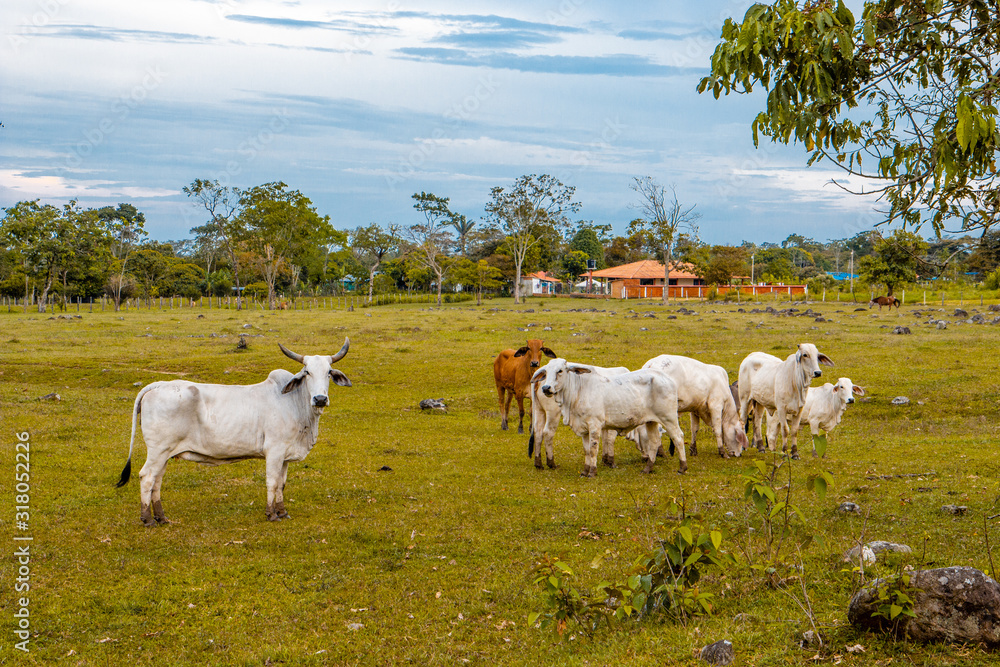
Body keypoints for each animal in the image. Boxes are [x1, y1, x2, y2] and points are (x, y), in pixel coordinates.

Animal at [115, 339, 351, 526]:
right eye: (307, 372)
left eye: (329, 373)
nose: (320, 399)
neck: (295, 404)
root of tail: (158, 385)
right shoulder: (274, 451)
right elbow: (272, 482)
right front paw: (271, 514)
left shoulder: (285, 455)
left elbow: (282, 483)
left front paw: (282, 512)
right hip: (158, 450)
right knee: (147, 477)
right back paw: (147, 519)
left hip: (165, 454)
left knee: (157, 481)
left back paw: (161, 517)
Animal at [532, 358, 687, 476]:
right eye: (546, 372)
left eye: (560, 371)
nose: (546, 388)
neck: (578, 391)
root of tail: (666, 378)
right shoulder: (583, 428)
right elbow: (587, 450)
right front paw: (585, 471)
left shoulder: (595, 425)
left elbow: (594, 448)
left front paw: (593, 472)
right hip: (651, 421)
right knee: (654, 441)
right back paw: (648, 468)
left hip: (668, 417)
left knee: (678, 437)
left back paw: (682, 467)